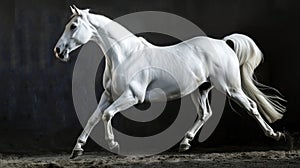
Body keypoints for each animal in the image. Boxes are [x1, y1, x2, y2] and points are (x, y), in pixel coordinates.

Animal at [53, 5, 286, 158]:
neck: (126, 55)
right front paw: (77, 149)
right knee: (205, 113)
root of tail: (223, 43)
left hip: (231, 88)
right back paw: (185, 143)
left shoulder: (132, 96)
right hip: (200, 90)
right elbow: (94, 117)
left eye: (73, 26)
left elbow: (107, 114)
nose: (58, 51)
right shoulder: (108, 95)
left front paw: (113, 144)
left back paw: (275, 135)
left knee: (252, 106)